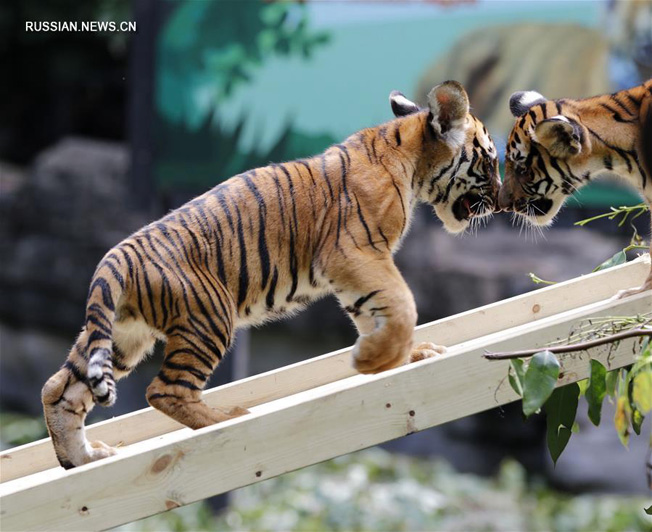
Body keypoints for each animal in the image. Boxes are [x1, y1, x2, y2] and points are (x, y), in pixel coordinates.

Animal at [42, 81, 500, 468]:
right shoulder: (355, 254)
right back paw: (227, 417)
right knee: (165, 390)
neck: (410, 157)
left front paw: (396, 356)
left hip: (123, 336)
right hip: (210, 317)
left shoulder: (357, 270)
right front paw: (374, 358)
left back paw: (82, 458)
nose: (500, 199)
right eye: (491, 160)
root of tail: (118, 255)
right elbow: (402, 302)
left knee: (59, 387)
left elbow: (377, 314)